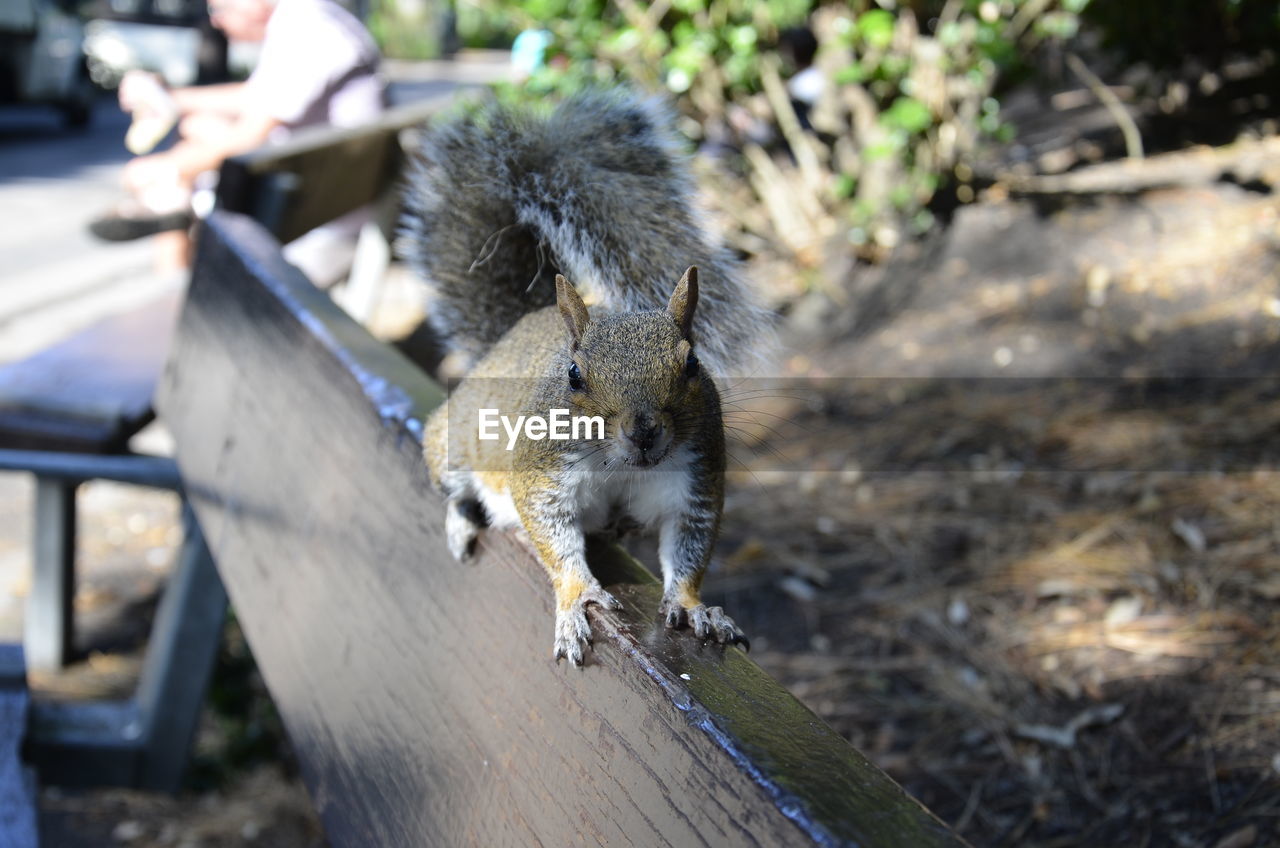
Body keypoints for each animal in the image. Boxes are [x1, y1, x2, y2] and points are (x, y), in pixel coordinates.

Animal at [404, 89, 773, 666]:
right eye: (575, 376)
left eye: (692, 363)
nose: (643, 432)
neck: (622, 466)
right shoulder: (540, 476)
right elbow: (553, 538)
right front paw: (578, 598)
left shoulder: (693, 477)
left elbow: (689, 545)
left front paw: (693, 607)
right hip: (451, 442)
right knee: (456, 490)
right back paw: (461, 520)